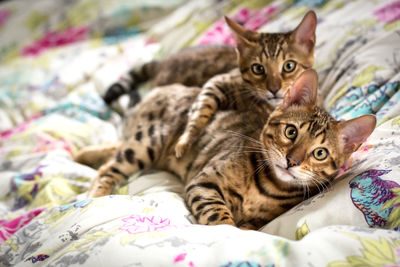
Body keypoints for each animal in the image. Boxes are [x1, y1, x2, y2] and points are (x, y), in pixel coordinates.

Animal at [76, 70, 378, 231]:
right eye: (291, 132)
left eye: (320, 153)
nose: (292, 161)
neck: (267, 187)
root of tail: (160, 90)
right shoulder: (203, 182)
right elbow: (219, 217)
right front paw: (227, 231)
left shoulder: (259, 221)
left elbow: (248, 226)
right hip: (148, 142)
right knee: (110, 168)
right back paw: (94, 198)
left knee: (115, 148)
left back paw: (83, 156)